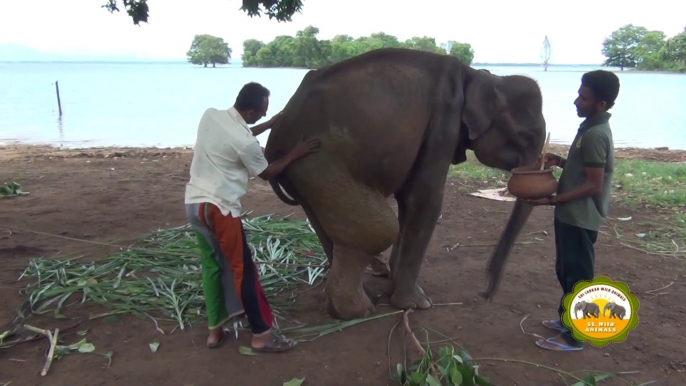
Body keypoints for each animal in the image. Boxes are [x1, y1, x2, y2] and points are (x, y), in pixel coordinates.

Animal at [264, 47, 548, 320]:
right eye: (528, 136)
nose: (484, 293)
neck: (480, 75)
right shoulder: (444, 121)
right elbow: (424, 198)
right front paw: (417, 304)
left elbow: (406, 201)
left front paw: (394, 291)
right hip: (319, 160)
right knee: (375, 230)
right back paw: (358, 311)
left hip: (301, 173)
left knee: (329, 228)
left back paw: (359, 300)